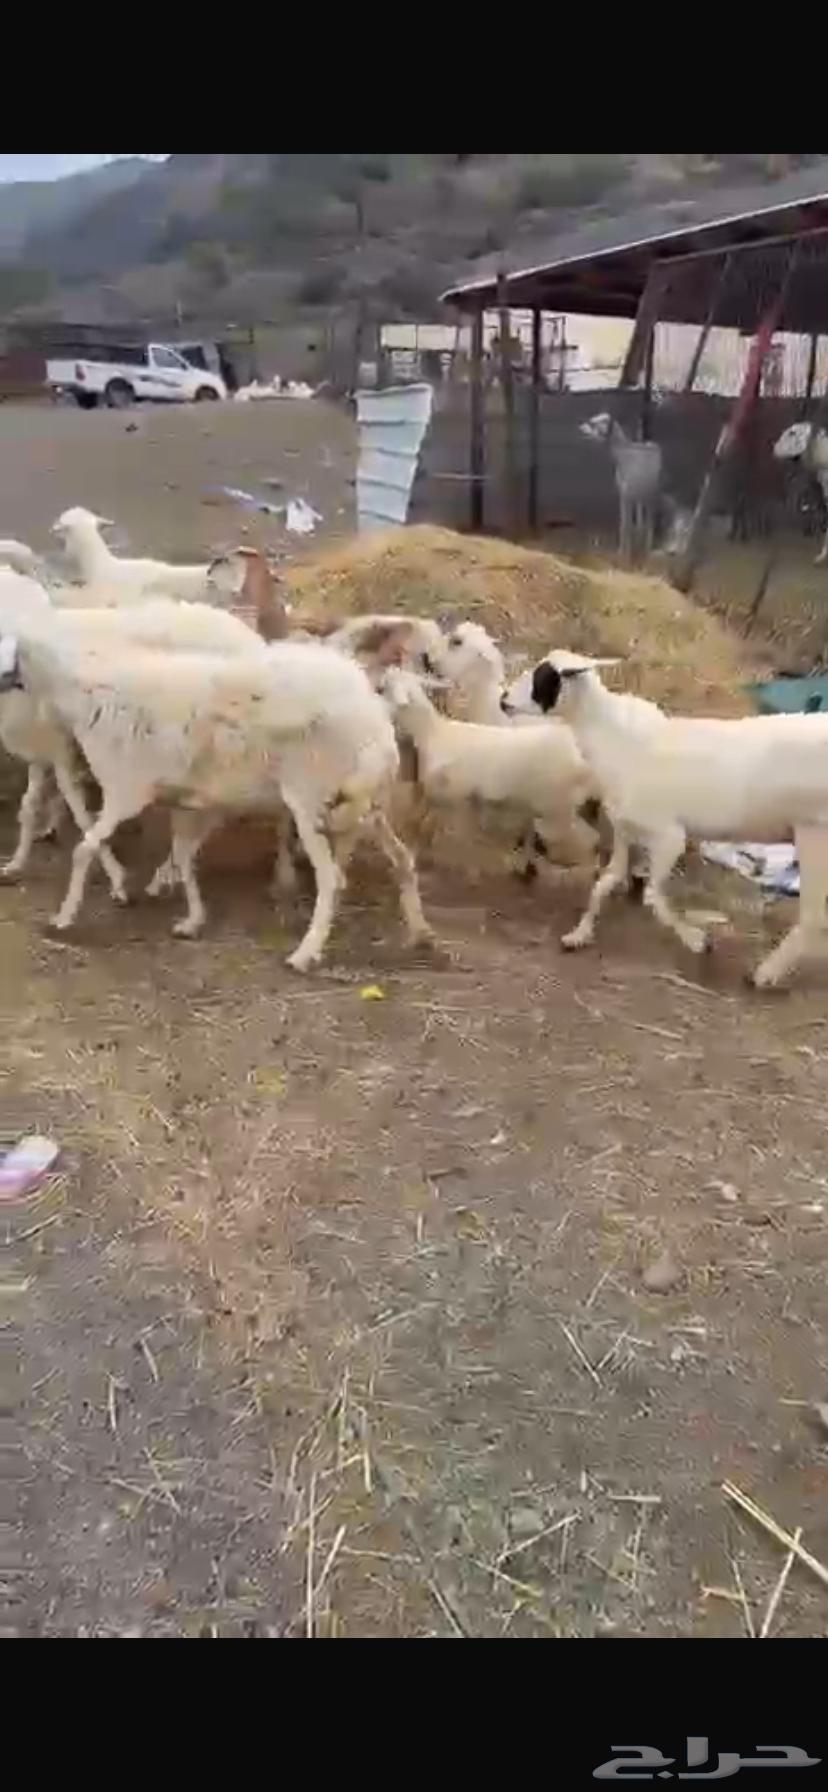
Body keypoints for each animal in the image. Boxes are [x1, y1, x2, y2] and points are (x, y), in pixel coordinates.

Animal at [0, 625, 434, 973]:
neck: (88, 695)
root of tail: (375, 719)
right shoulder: (189, 803)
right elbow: (183, 858)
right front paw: (192, 920)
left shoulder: (127, 791)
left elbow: (85, 849)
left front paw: (64, 918)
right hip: (363, 805)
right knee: (402, 860)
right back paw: (420, 935)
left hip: (310, 799)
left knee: (332, 880)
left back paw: (305, 954)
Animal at [377, 666, 599, 873]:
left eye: (384, 688)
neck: (432, 733)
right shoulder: (460, 799)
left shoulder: (451, 797)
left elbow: (429, 829)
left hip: (558, 809)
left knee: (584, 842)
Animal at [504, 648, 828, 988]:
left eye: (544, 678)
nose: (503, 700)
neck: (615, 741)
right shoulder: (625, 830)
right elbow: (606, 881)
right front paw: (579, 934)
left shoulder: (669, 836)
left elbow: (652, 896)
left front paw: (698, 941)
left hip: (814, 831)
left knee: (813, 917)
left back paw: (764, 974)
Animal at [580, 413, 663, 564]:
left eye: (597, 423)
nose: (581, 427)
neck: (624, 456)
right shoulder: (623, 495)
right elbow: (623, 523)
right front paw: (623, 553)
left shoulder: (627, 495)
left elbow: (626, 526)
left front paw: (626, 557)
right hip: (640, 495)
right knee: (640, 519)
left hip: (651, 494)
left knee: (649, 520)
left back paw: (646, 548)